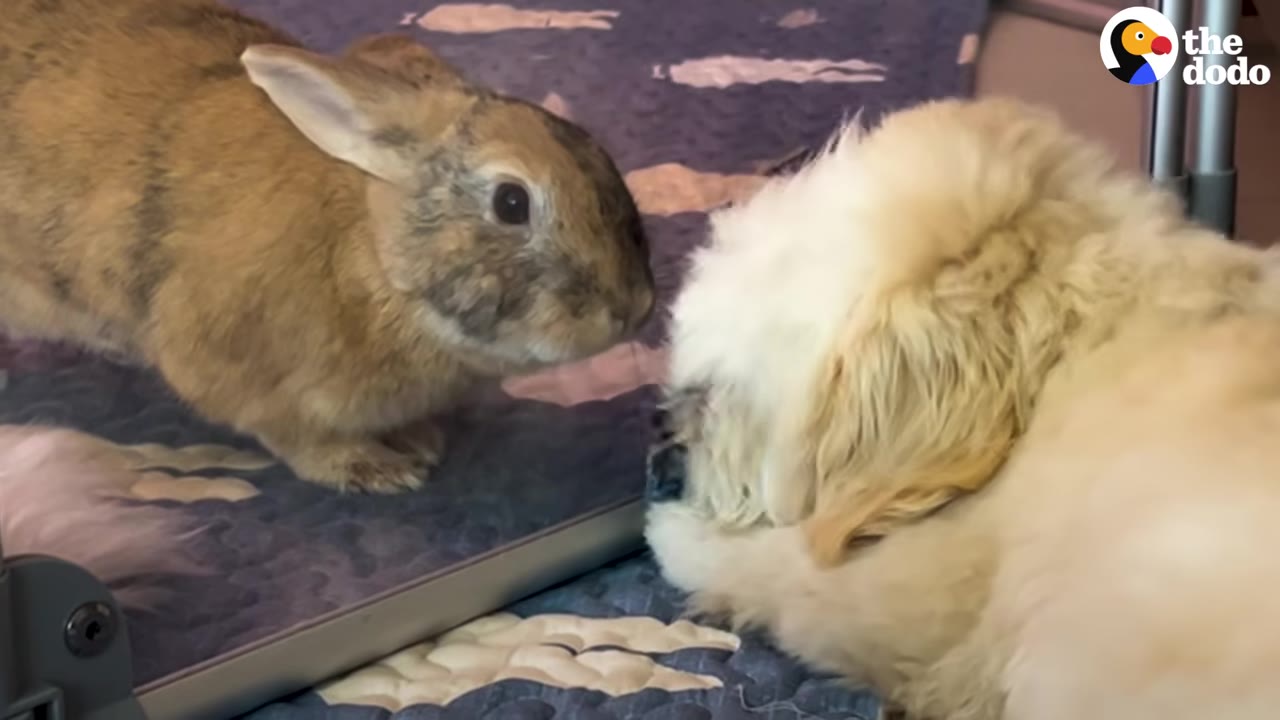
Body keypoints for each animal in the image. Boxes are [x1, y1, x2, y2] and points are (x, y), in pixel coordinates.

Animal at [0, 0, 656, 494]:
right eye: (512, 203)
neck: (375, 261)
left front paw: (420, 440)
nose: (633, 308)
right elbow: (301, 443)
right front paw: (380, 469)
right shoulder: (241, 380)